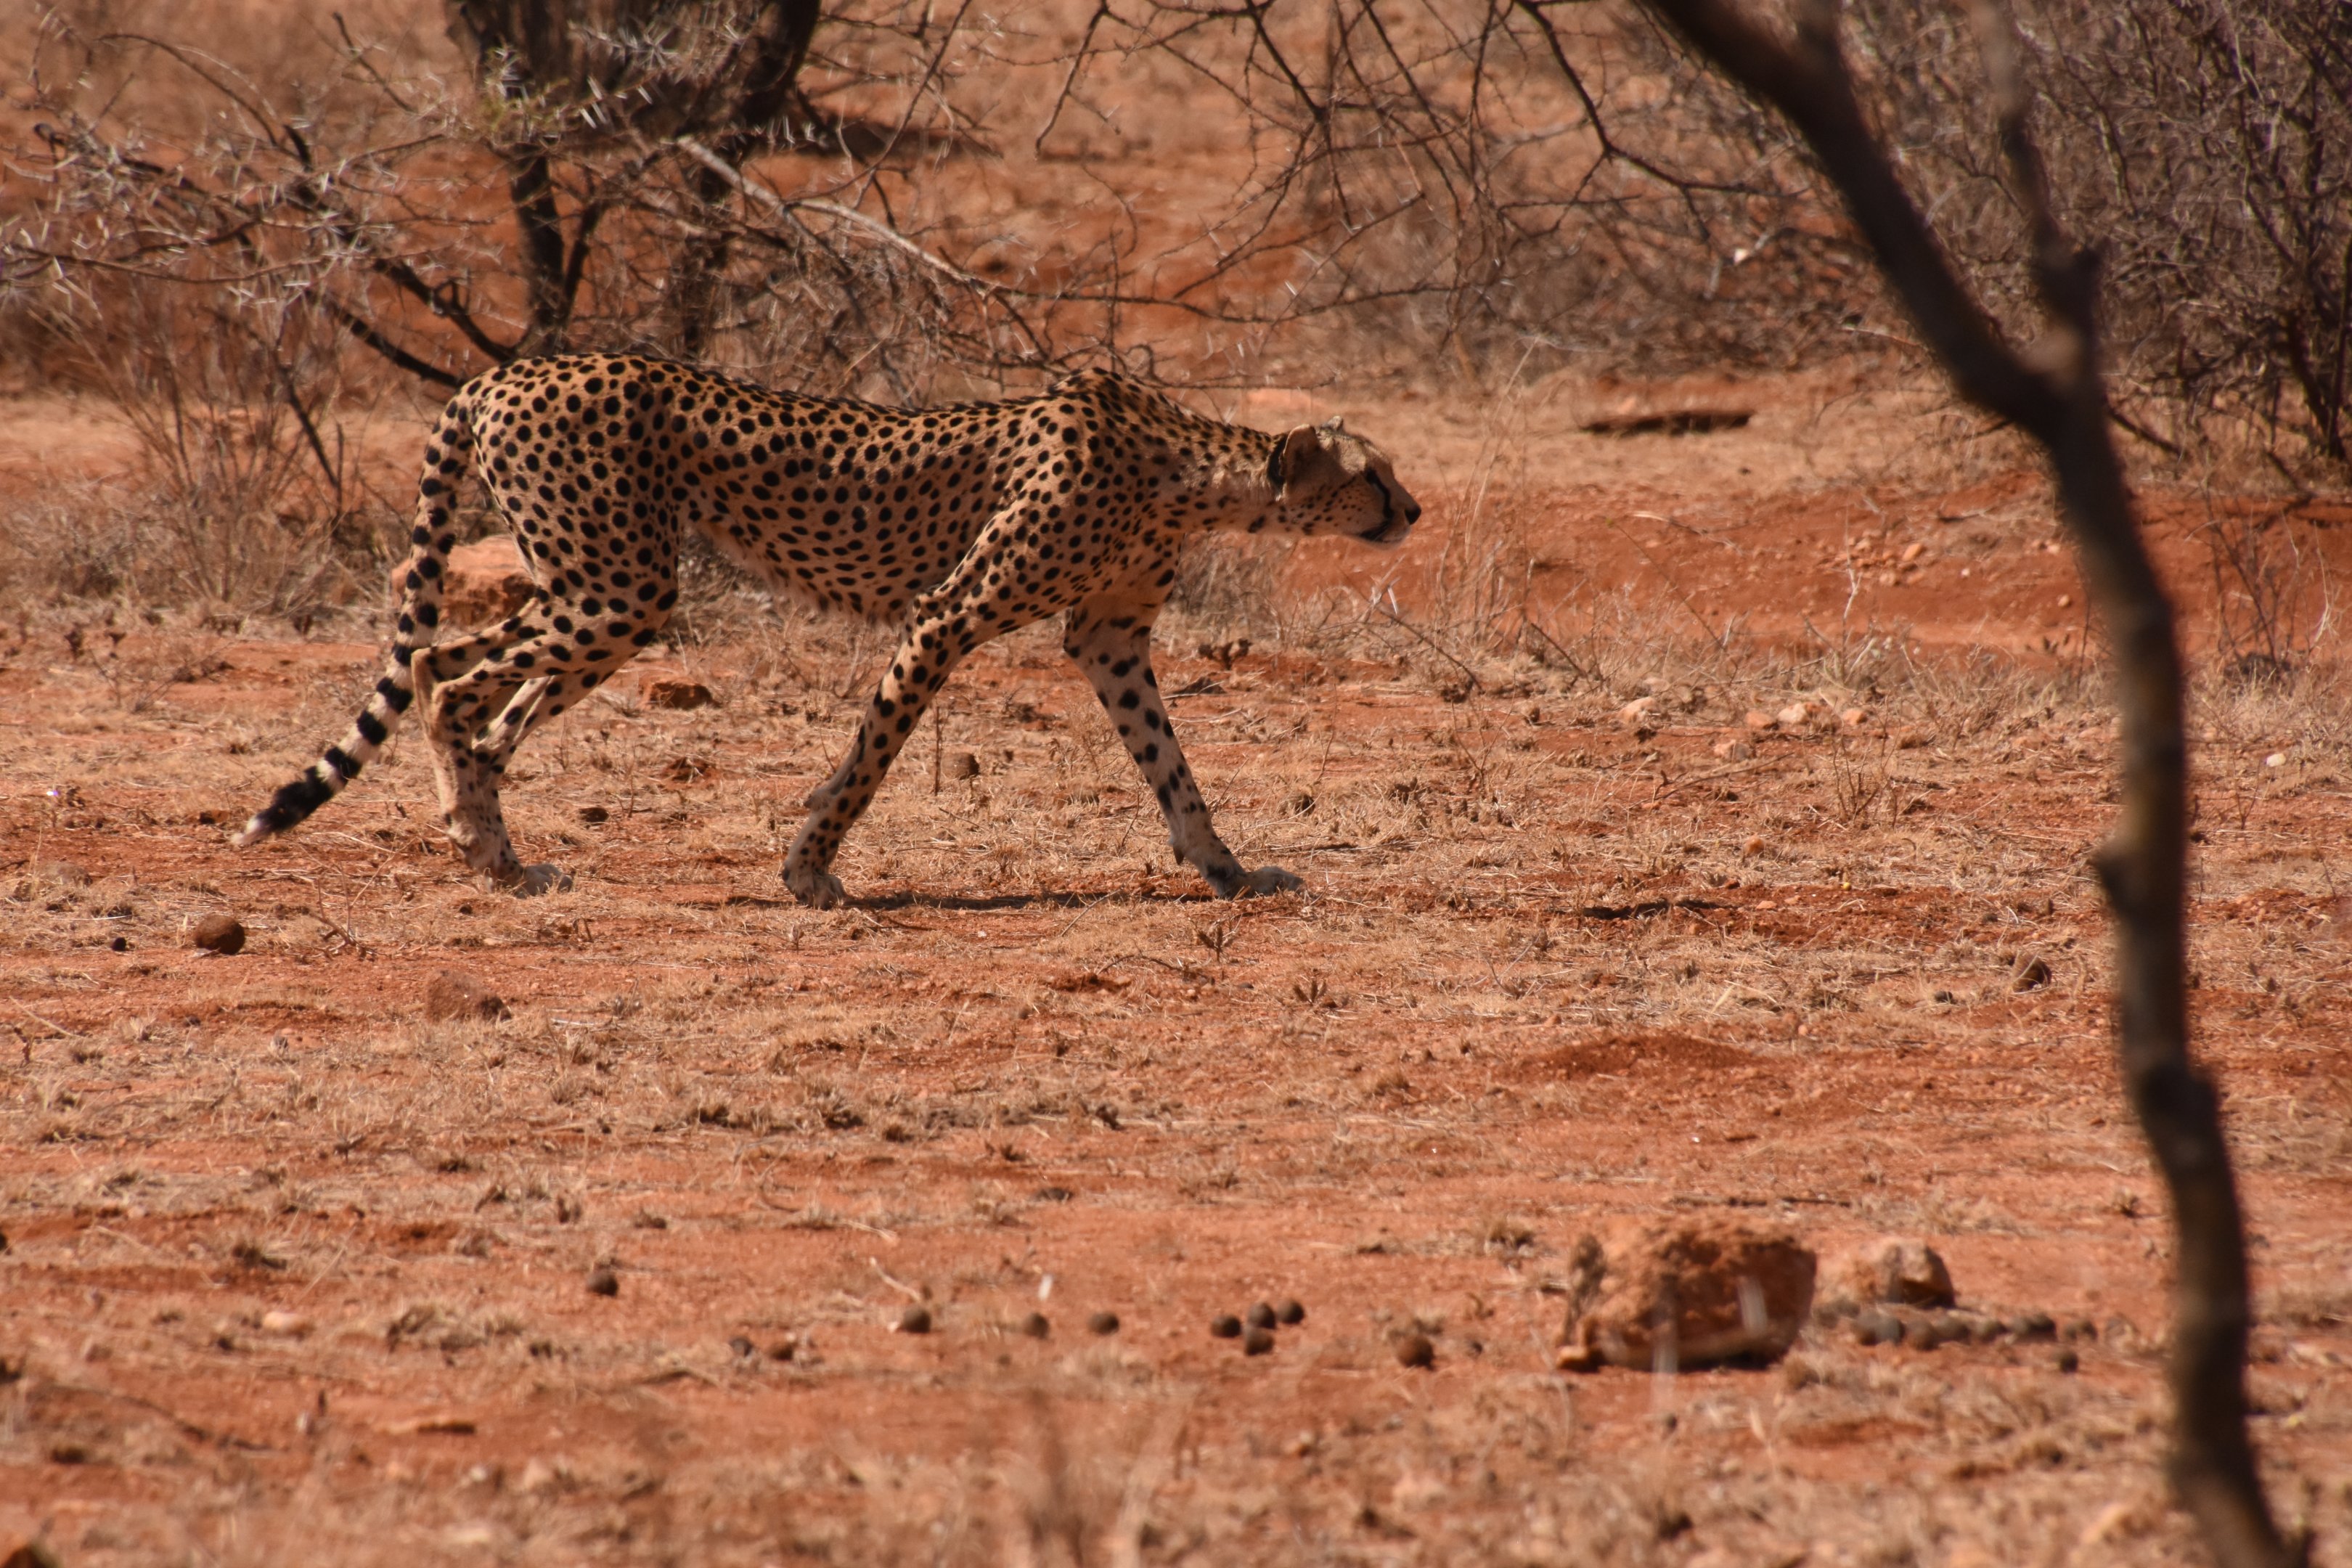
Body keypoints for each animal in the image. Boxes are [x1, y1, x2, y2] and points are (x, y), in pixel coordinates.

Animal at [237, 353, 1421, 907]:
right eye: (1371, 476)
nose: (1411, 512)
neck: (1182, 467)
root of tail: (506, 369)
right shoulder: (949, 615)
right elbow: (868, 761)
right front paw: (810, 873)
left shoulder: (1110, 639)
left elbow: (1169, 762)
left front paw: (1222, 866)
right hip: (620, 587)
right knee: (449, 675)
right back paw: (485, 846)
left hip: (596, 585)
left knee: (454, 671)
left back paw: (492, 850)